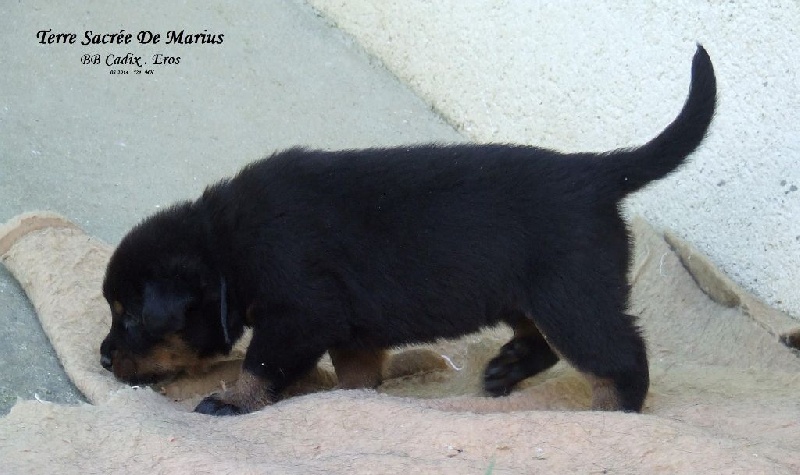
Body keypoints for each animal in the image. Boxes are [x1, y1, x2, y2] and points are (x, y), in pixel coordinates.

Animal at [100, 45, 720, 416]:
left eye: (130, 317)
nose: (104, 359)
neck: (229, 246)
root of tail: (595, 172)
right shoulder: (350, 330)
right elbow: (354, 376)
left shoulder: (300, 314)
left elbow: (261, 364)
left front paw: (233, 400)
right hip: (524, 291)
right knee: (542, 337)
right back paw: (508, 367)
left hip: (573, 296)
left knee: (620, 356)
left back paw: (612, 416)